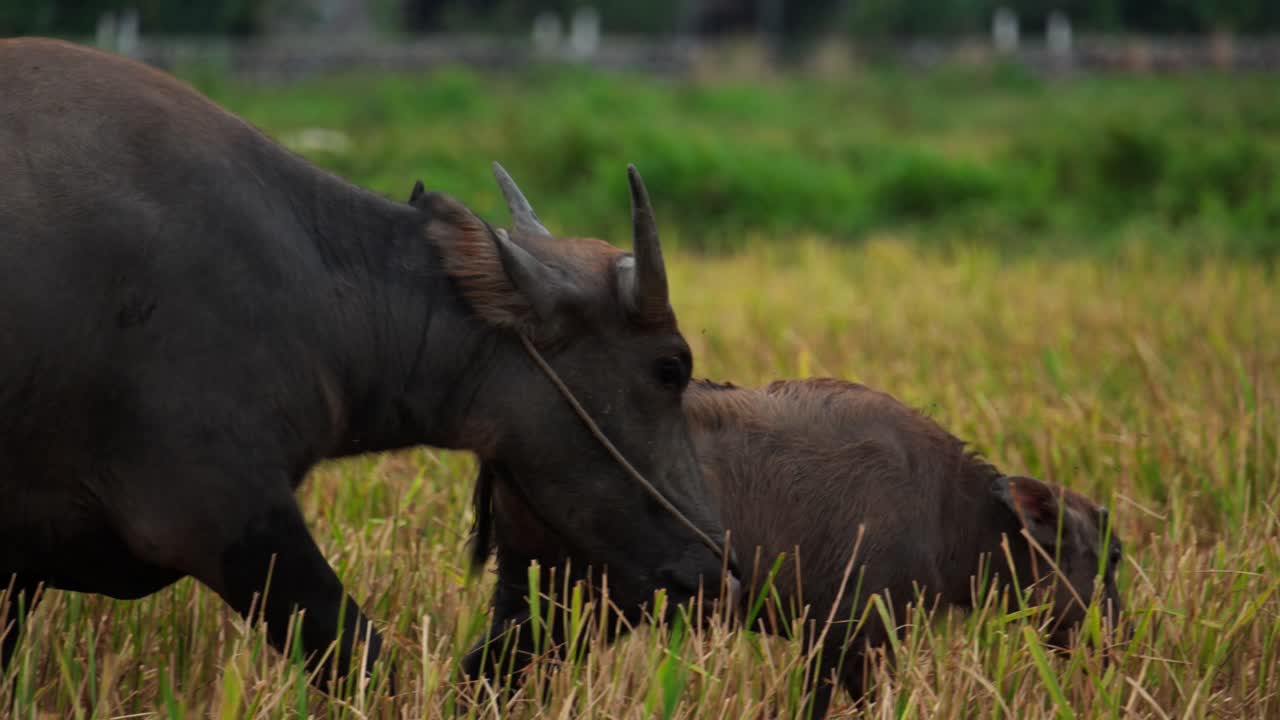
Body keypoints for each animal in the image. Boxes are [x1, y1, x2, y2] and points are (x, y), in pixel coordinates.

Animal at [0, 37, 736, 685]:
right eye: (670, 367)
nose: (712, 564)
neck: (310, 292)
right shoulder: (222, 512)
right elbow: (367, 663)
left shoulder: (18, 567)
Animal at [467, 378, 1125, 717]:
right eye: (1113, 556)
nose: (1118, 645)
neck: (948, 507)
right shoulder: (851, 638)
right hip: (561, 603)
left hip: (553, 606)